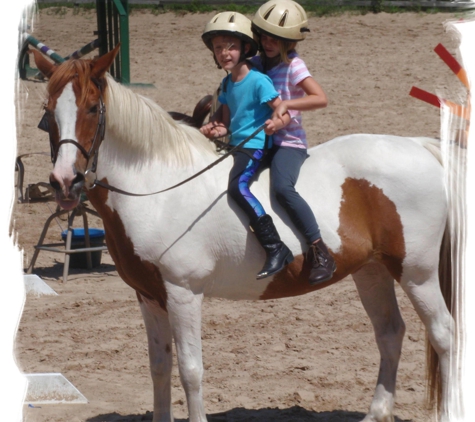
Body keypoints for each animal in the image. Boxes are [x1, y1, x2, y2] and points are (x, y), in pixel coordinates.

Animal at [31, 46, 460, 422]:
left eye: (91, 108)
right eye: (48, 112)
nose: (65, 182)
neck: (158, 186)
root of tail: (420, 147)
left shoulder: (183, 293)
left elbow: (190, 369)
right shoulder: (149, 295)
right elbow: (159, 366)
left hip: (417, 273)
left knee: (443, 335)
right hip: (371, 271)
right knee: (390, 333)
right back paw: (376, 412)